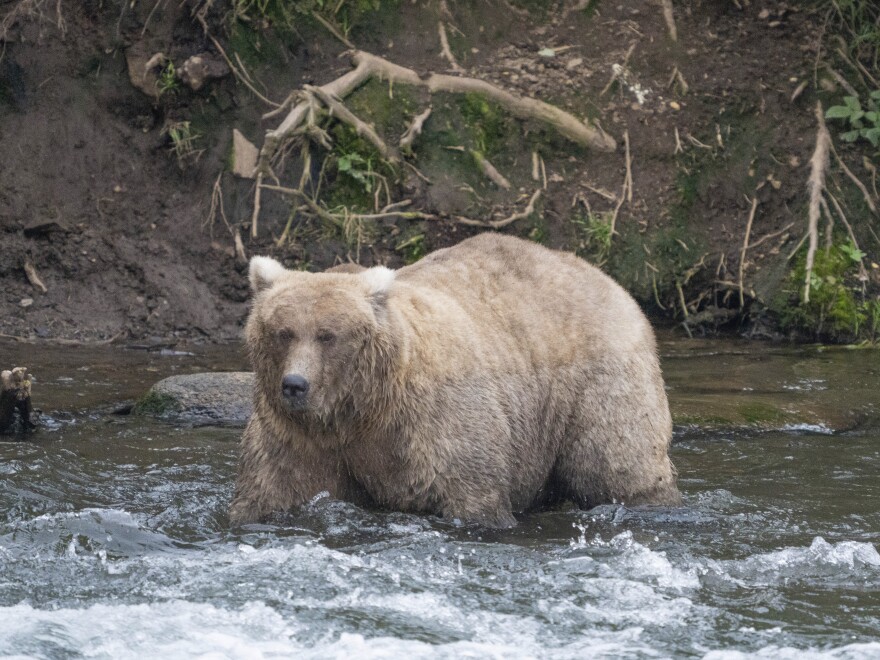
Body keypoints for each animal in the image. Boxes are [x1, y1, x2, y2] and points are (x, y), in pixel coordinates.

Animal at [229, 232, 680, 524]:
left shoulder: (433, 423)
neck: (361, 409)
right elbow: (273, 489)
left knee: (615, 463)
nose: (295, 385)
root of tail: (607, 279)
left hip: (597, 382)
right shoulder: (298, 436)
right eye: (283, 332)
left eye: (328, 335)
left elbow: (470, 493)